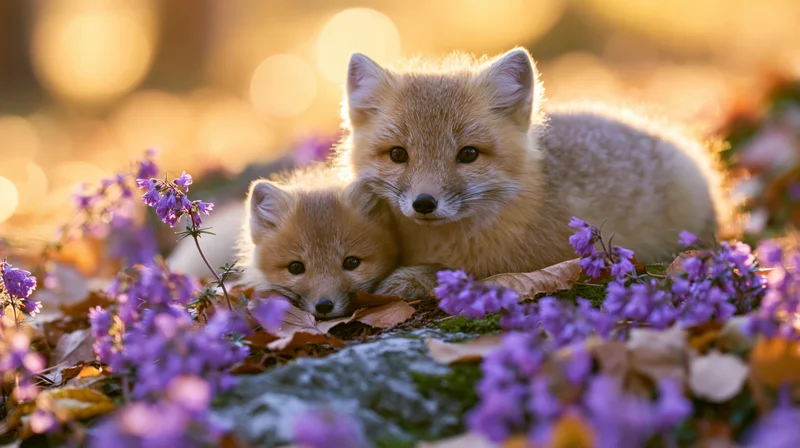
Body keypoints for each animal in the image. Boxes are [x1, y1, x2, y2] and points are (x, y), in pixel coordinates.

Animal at [336, 47, 731, 289]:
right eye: (398, 154)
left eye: (468, 154)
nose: (424, 203)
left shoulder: (520, 261)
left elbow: (449, 272)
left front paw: (407, 279)